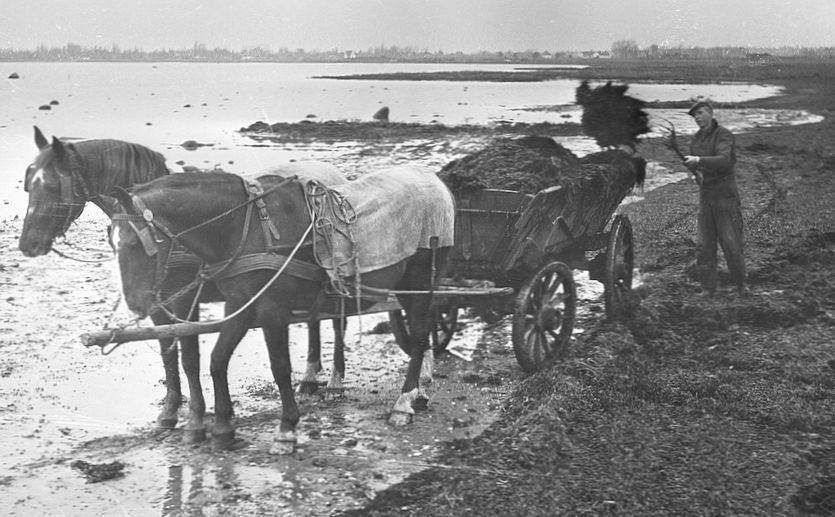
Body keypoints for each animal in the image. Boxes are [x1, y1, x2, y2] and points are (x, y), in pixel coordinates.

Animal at [18, 127, 348, 442]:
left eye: (51, 185)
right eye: (27, 184)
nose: (28, 244)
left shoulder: (184, 301)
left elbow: (190, 358)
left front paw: (196, 419)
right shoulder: (159, 303)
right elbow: (168, 353)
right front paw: (170, 411)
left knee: (337, 322)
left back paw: (334, 380)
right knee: (315, 320)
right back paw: (309, 376)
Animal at [109, 166, 458, 452]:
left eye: (134, 243)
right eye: (117, 243)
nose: (138, 304)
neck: (244, 227)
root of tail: (437, 183)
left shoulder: (271, 309)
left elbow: (278, 367)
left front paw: (286, 429)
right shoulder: (239, 304)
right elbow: (216, 360)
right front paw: (222, 427)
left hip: (421, 281)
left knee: (419, 335)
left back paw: (405, 401)